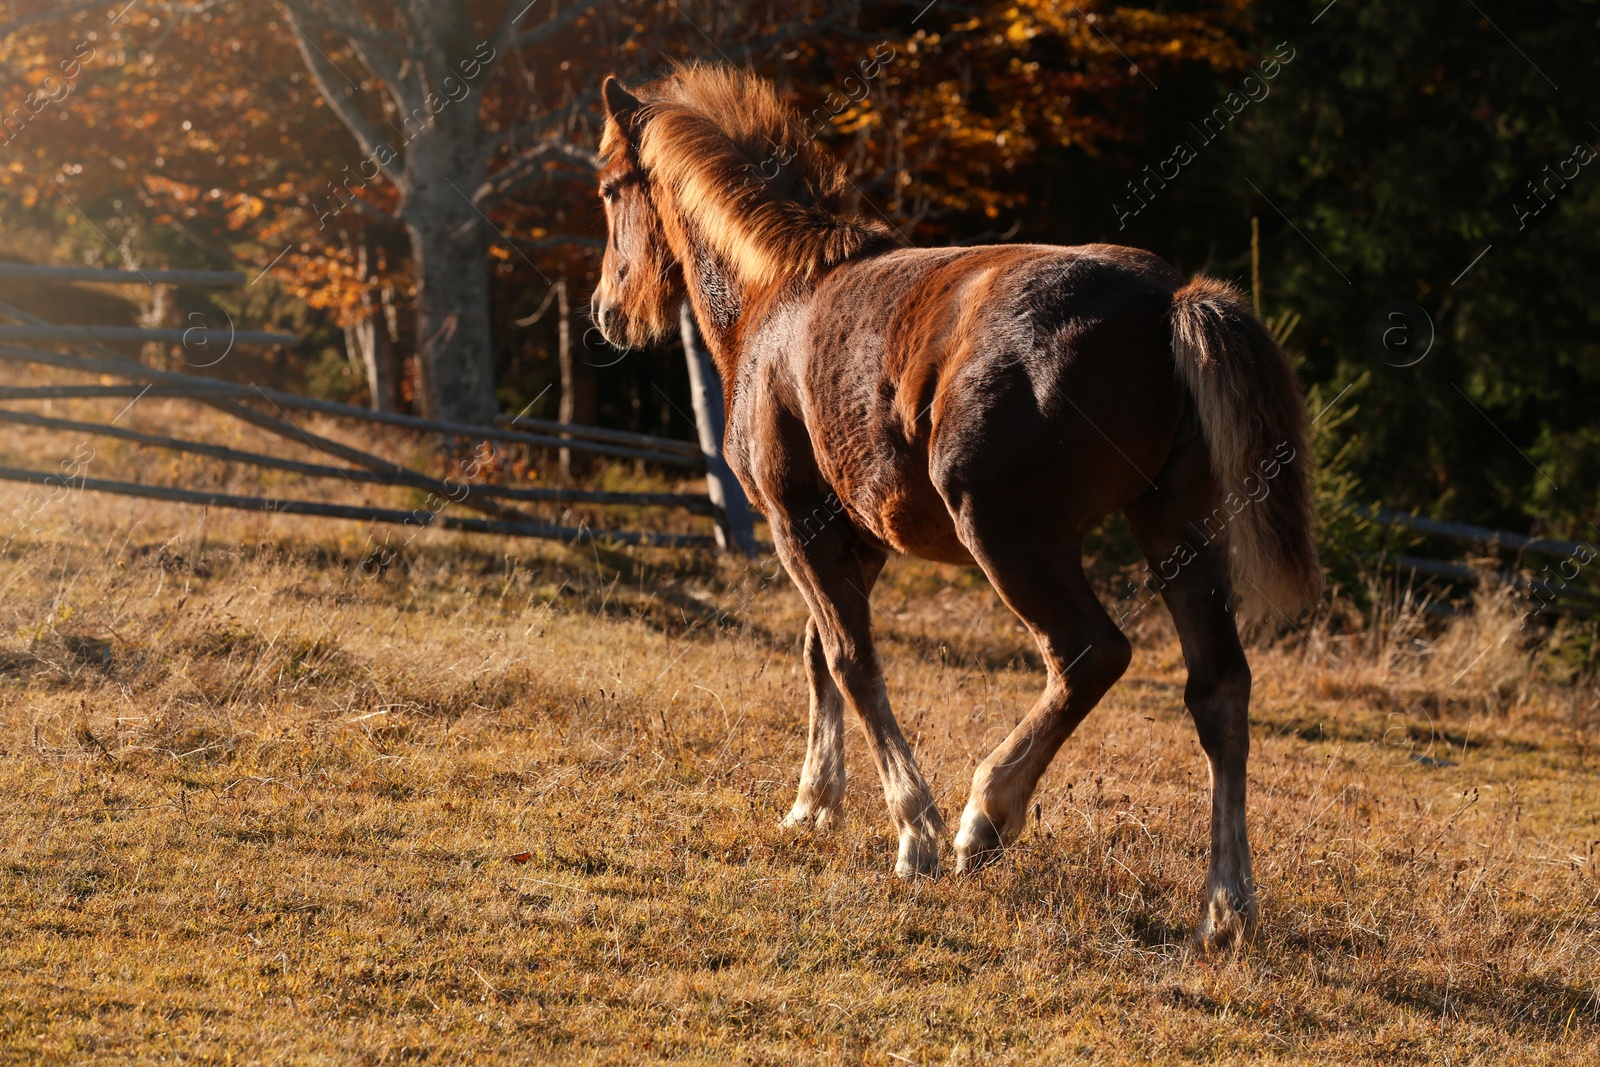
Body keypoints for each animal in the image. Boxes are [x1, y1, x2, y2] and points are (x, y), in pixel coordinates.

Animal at [595, 64, 1318, 953]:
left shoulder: (796, 521)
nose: (606, 311)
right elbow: (818, 652)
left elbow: (851, 659)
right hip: (1174, 526)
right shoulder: (858, 538)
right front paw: (813, 804)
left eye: (608, 188)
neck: (780, 294)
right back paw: (1226, 905)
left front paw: (916, 831)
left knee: (1089, 654)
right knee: (1218, 687)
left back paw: (986, 817)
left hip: (1011, 536)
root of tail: (1169, 298)